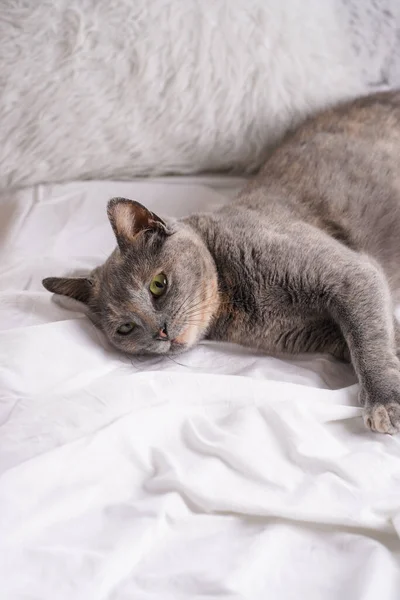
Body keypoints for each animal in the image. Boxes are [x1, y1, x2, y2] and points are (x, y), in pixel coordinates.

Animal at [44, 91, 400, 434]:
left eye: (158, 285)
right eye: (125, 328)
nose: (160, 332)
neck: (238, 302)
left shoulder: (350, 274)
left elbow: (366, 341)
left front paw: (383, 401)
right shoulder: (314, 332)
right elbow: (374, 336)